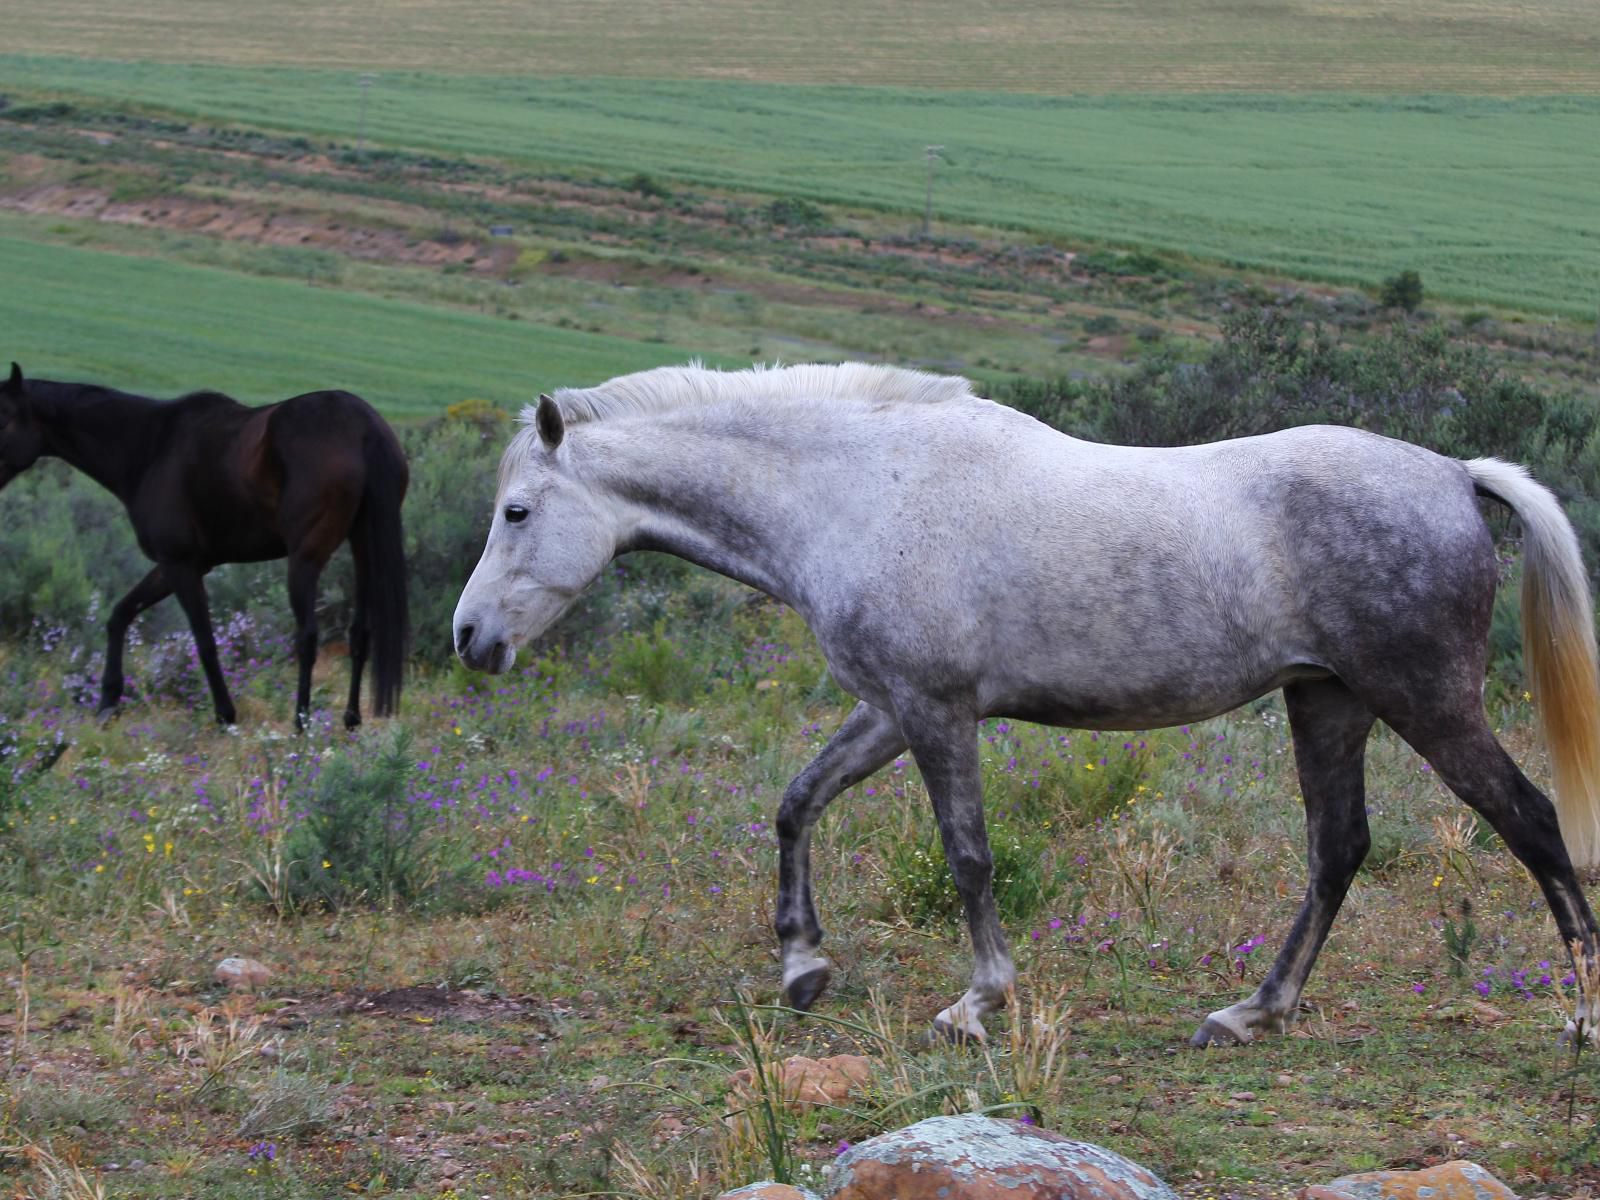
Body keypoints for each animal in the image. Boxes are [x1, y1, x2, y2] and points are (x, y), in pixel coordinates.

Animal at [0, 361, 409, 729]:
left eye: (4, 420)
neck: (151, 447)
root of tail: (363, 429)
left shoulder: (179, 564)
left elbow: (205, 642)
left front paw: (225, 715)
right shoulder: (182, 564)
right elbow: (120, 615)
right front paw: (108, 703)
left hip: (305, 560)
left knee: (307, 638)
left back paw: (301, 724)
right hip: (363, 548)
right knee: (360, 634)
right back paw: (351, 720)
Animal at [451, 361, 1600, 1049]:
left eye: (517, 512)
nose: (469, 638)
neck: (859, 490)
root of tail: (1453, 475)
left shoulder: (934, 713)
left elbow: (966, 855)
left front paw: (977, 1002)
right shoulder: (890, 709)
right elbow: (796, 802)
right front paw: (802, 964)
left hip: (1425, 702)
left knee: (1531, 823)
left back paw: (1581, 1018)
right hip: (1328, 704)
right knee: (1339, 849)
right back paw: (1252, 1012)